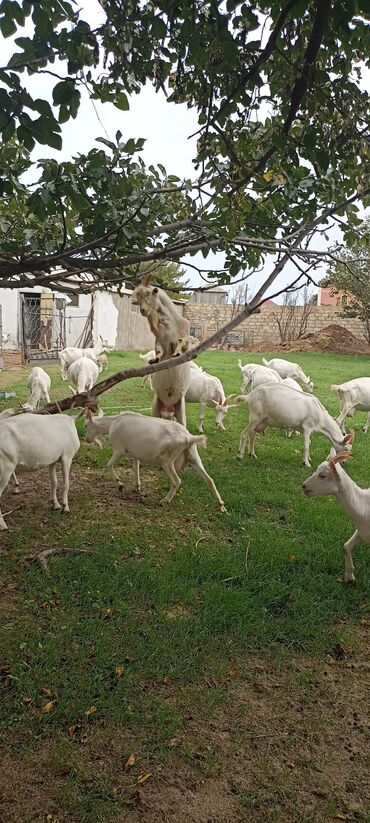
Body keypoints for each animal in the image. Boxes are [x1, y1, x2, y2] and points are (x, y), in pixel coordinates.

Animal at [85, 410, 227, 512]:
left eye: (86, 425)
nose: (86, 439)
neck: (112, 423)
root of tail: (188, 438)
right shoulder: (136, 452)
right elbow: (135, 467)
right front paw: (137, 486)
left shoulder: (119, 448)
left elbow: (109, 464)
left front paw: (120, 484)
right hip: (193, 456)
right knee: (209, 480)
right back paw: (221, 506)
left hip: (167, 460)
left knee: (176, 481)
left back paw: (165, 500)